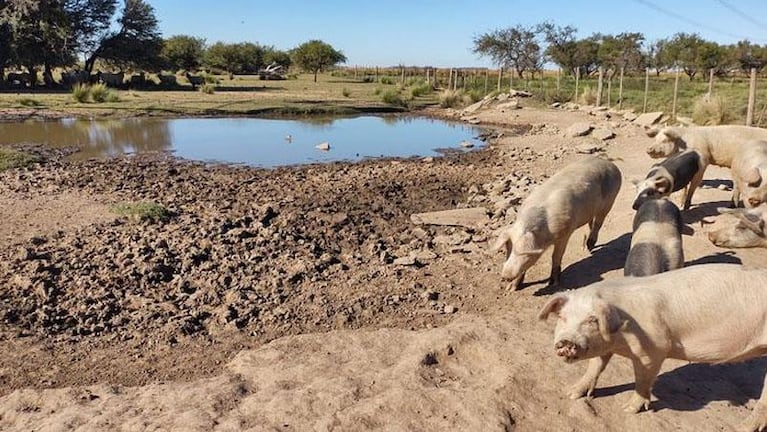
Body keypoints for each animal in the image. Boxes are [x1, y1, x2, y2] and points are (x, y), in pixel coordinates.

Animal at [492, 156, 624, 290]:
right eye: (508, 249)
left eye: (525, 254)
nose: (506, 276)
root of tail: (609, 163)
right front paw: (511, 289)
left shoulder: (565, 233)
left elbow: (556, 256)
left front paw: (553, 283)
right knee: (591, 222)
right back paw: (588, 248)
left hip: (610, 201)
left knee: (598, 223)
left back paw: (590, 245)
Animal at [536, 264, 767, 430]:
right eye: (562, 318)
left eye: (592, 320)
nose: (566, 341)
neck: (620, 333)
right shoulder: (606, 347)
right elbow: (595, 366)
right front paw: (571, 394)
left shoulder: (655, 348)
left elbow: (643, 379)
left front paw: (628, 410)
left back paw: (742, 428)